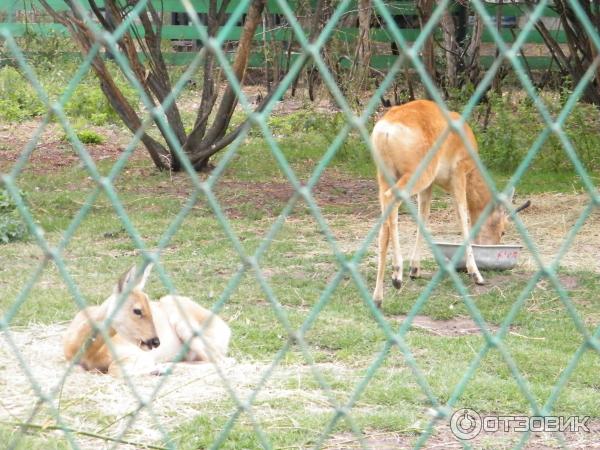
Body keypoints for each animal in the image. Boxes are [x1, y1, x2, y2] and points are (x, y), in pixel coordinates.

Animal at [63, 264, 231, 376]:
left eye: (149, 305)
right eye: (137, 310)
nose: (155, 341)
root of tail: (226, 329)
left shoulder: (136, 354)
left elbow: (114, 369)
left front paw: (156, 368)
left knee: (222, 361)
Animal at [370, 100, 528, 308]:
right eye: (503, 230)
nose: (495, 246)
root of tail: (386, 130)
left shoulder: (429, 187)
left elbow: (423, 218)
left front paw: (415, 270)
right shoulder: (458, 175)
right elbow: (463, 217)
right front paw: (476, 274)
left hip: (385, 176)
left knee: (384, 224)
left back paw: (378, 297)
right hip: (416, 174)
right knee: (392, 199)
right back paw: (397, 275)